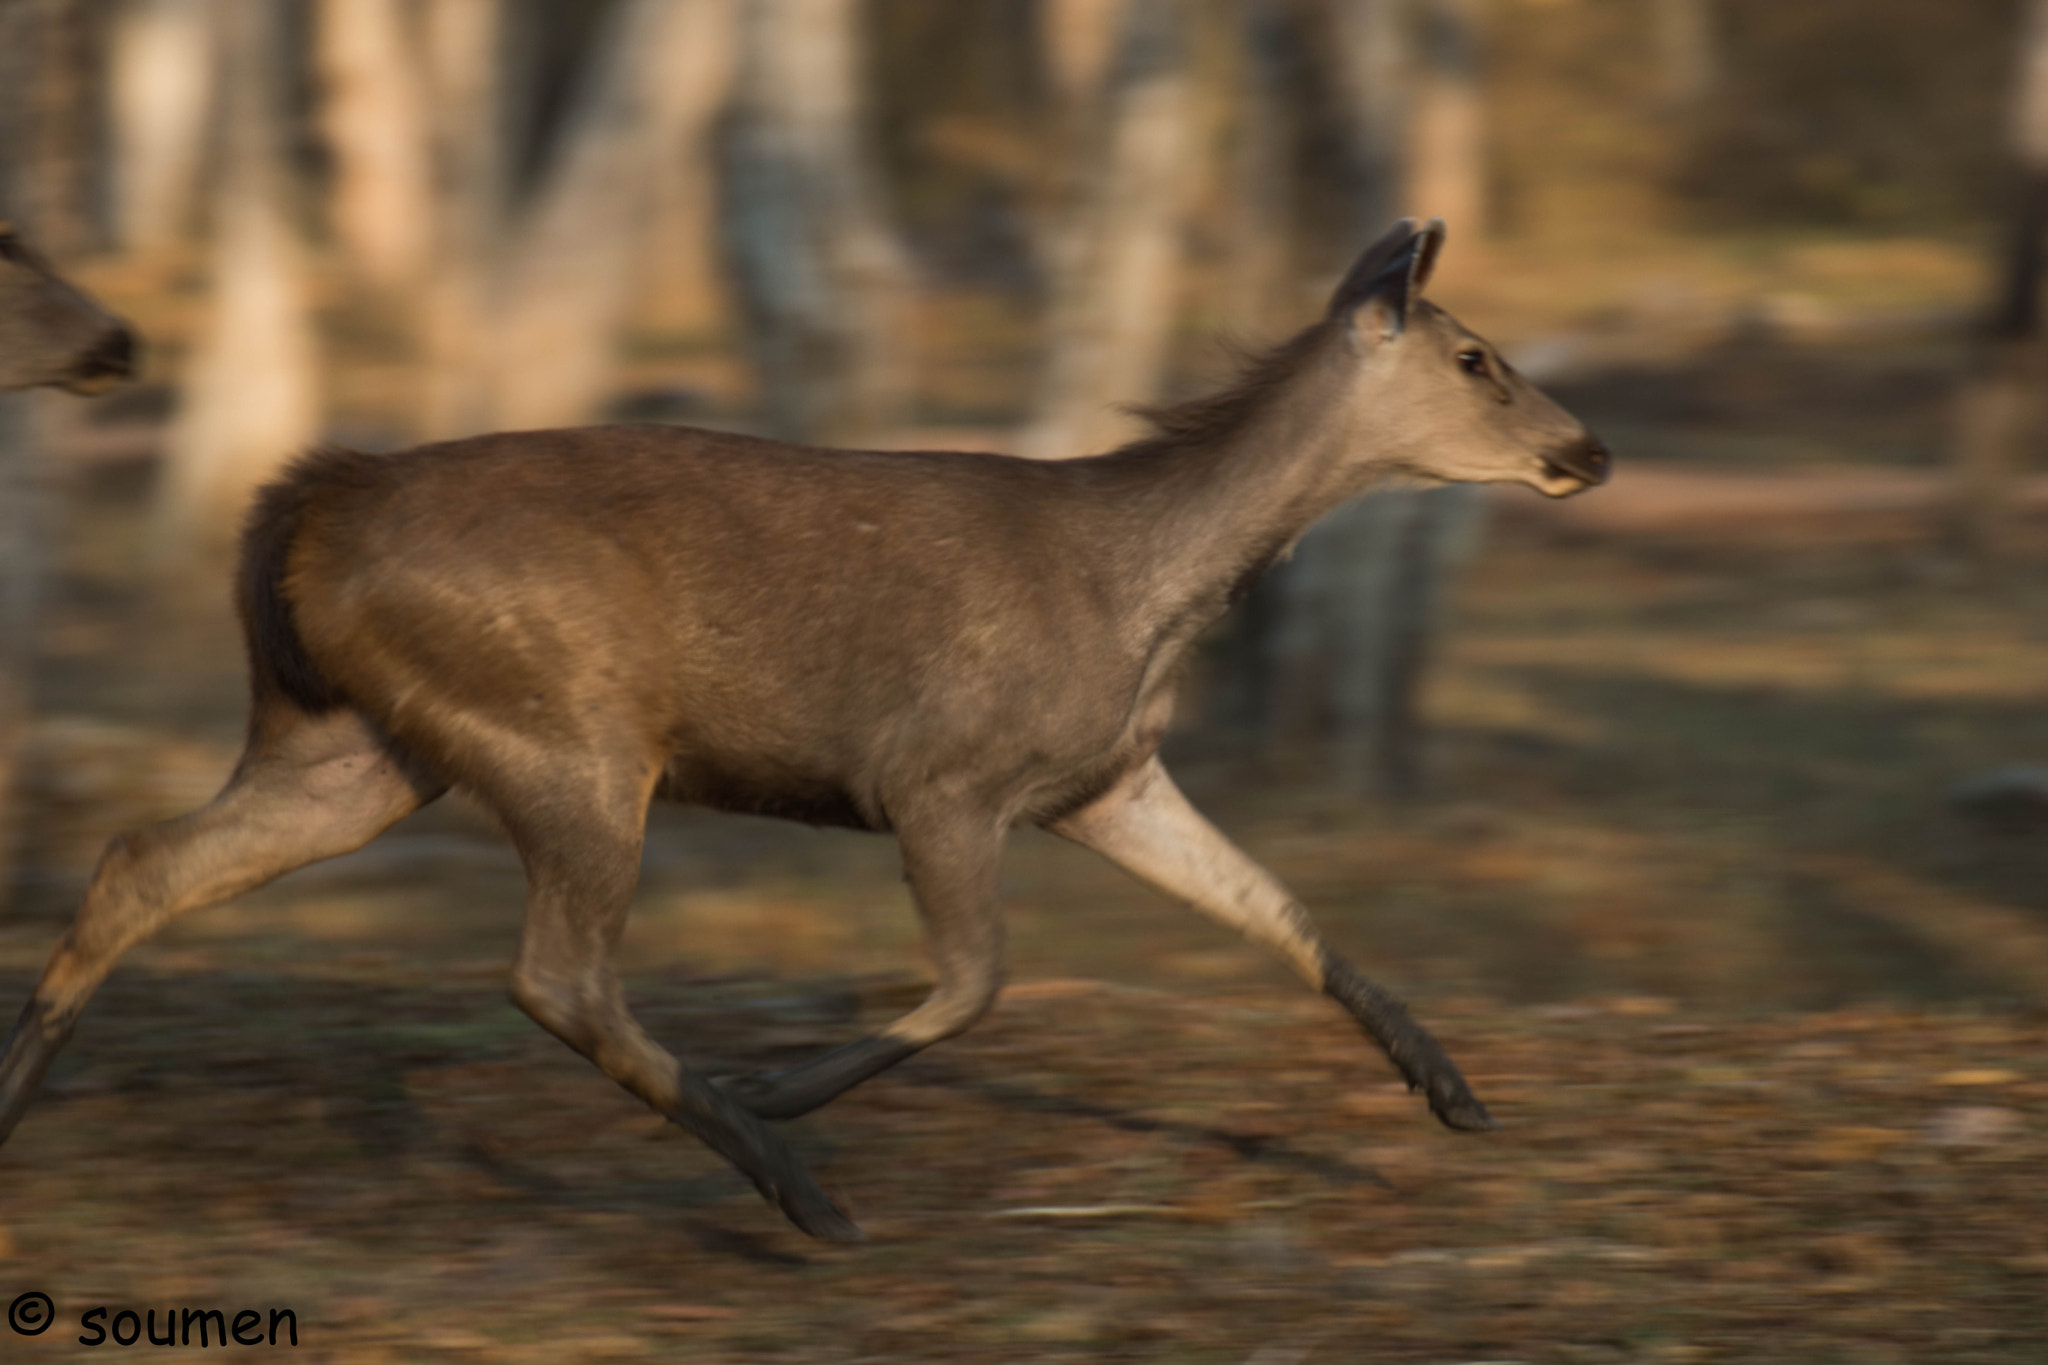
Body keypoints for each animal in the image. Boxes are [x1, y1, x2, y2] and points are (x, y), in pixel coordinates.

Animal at [0, 219, 1606, 1242]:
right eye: (1477, 356)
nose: (1587, 449)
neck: (1141, 592)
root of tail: (307, 510)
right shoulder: (938, 776)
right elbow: (976, 981)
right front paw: (785, 1086)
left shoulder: (1102, 777)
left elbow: (1281, 908)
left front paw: (1453, 1094)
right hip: (567, 731)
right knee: (552, 973)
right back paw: (795, 1183)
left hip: (363, 744)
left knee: (144, 858)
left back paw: (17, 1104)